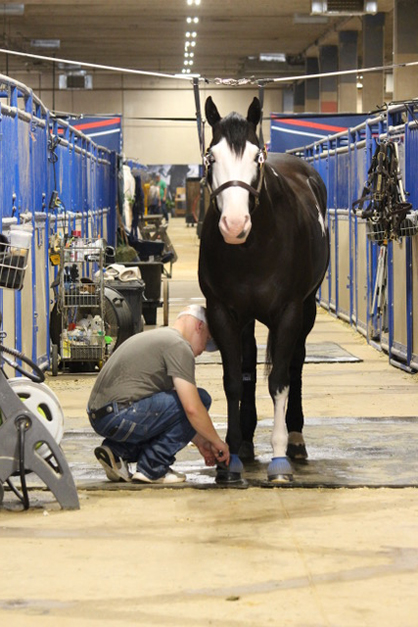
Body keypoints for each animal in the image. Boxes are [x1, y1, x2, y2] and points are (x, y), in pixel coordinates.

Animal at [199, 97, 330, 486]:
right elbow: (233, 380)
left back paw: (297, 441)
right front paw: (229, 459)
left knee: (296, 364)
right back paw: (245, 442)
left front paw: (279, 459)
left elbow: (279, 381)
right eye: (211, 156)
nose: (234, 225)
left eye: (256, 156)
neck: (252, 247)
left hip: (307, 309)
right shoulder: (222, 312)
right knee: (248, 363)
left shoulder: (289, 312)